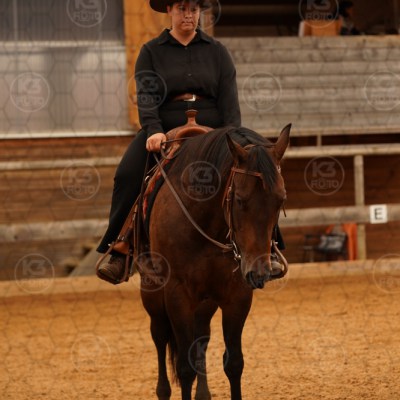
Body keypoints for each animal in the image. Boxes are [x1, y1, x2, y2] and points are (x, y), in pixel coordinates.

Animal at [136, 123, 291, 400]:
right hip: (152, 292)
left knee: (201, 337)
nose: (259, 271)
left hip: (205, 303)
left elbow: (234, 363)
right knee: (160, 336)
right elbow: (185, 368)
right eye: (239, 199)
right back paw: (163, 390)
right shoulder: (177, 294)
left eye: (280, 199)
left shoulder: (238, 294)